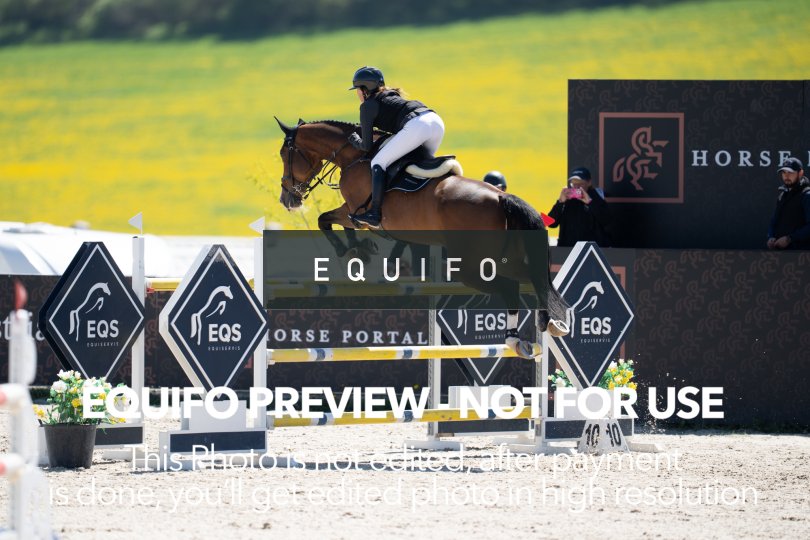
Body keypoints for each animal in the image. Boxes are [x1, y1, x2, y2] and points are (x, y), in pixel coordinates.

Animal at [274, 118, 569, 357]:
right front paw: (361, 250)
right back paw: (549, 324)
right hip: (506, 259)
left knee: (510, 287)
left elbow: (325, 220)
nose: (287, 199)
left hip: (471, 268)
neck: (354, 156)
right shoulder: (353, 212)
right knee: (534, 279)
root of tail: (501, 197)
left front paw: (353, 251)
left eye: (284, 154)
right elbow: (335, 223)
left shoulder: (356, 210)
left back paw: (513, 340)